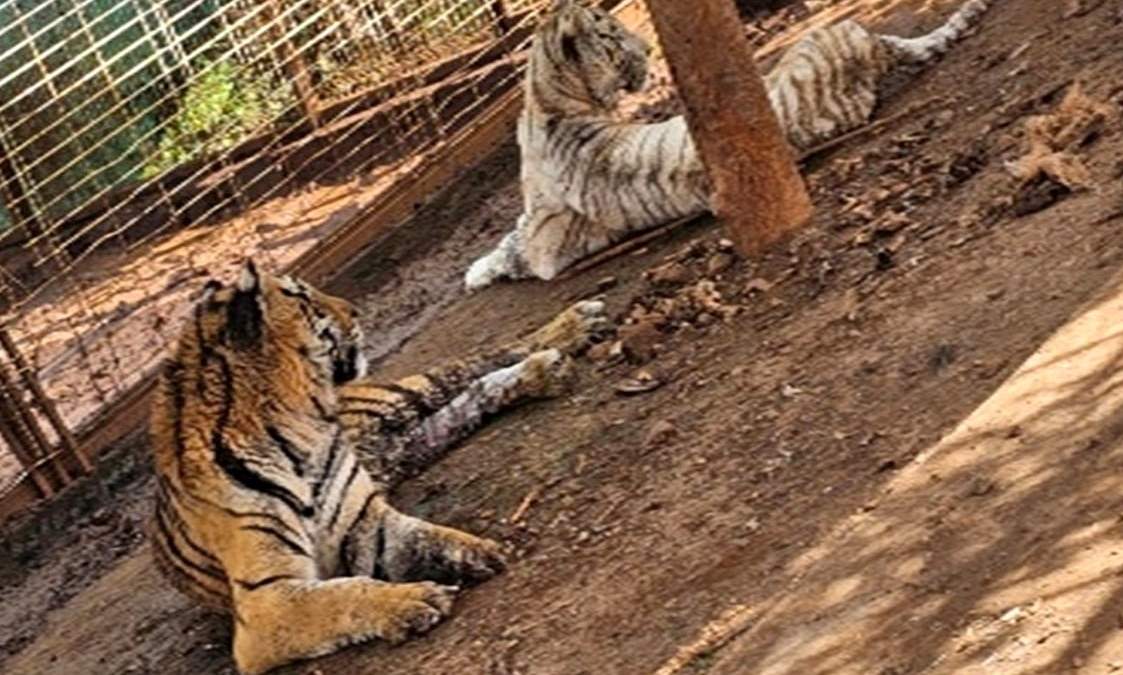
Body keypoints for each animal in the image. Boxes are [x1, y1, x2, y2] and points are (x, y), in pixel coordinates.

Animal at [149, 259, 610, 674]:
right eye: (305, 298)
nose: (354, 310)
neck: (299, 428)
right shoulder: (266, 604)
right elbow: (346, 590)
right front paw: (416, 598)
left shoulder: (364, 522)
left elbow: (423, 535)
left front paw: (477, 550)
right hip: (405, 441)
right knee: (465, 399)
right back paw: (545, 369)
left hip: (399, 398)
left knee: (470, 364)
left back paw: (572, 329)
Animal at [463, 0, 991, 290]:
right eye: (615, 39)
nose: (650, 51)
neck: (546, 96)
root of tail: (871, 50)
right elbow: (510, 238)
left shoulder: (546, 244)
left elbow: (510, 242)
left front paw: (476, 271)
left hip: (812, 41)